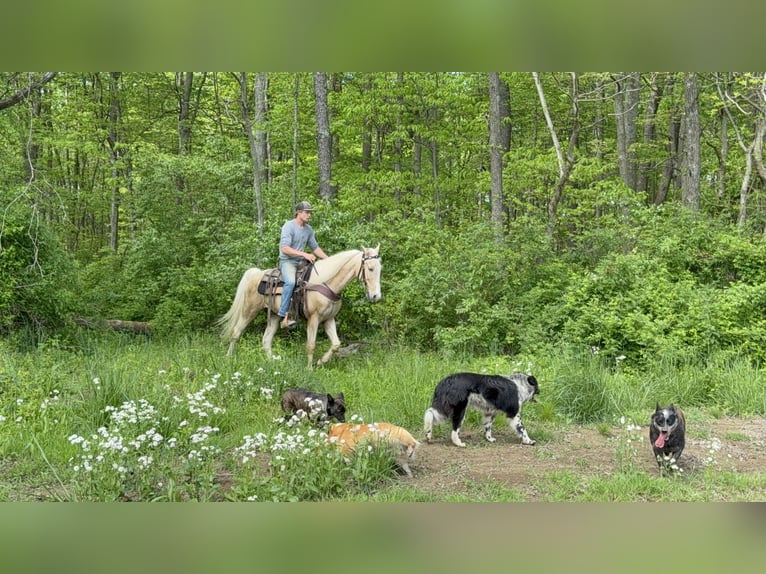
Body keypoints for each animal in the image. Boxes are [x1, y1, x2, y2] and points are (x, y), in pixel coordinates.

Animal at [217, 245, 381, 368]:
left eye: (380, 269)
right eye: (370, 268)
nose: (376, 296)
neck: (326, 283)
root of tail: (256, 274)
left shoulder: (328, 319)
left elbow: (336, 344)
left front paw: (320, 362)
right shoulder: (314, 319)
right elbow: (311, 345)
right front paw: (309, 369)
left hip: (274, 316)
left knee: (266, 340)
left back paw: (272, 364)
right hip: (249, 310)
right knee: (236, 332)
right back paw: (228, 358)